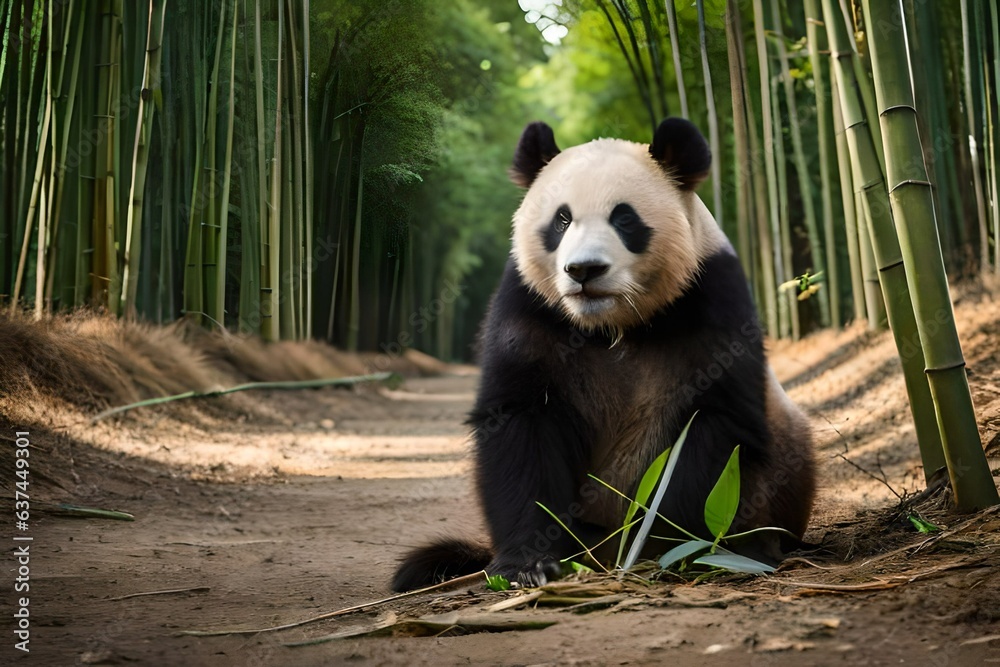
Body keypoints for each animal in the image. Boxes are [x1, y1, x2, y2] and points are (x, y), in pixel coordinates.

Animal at [391, 118, 816, 592]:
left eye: (625, 218)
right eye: (561, 219)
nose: (584, 270)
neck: (611, 325)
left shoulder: (711, 295)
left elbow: (713, 425)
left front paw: (658, 547)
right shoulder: (531, 307)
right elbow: (521, 422)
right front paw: (528, 564)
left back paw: (747, 550)